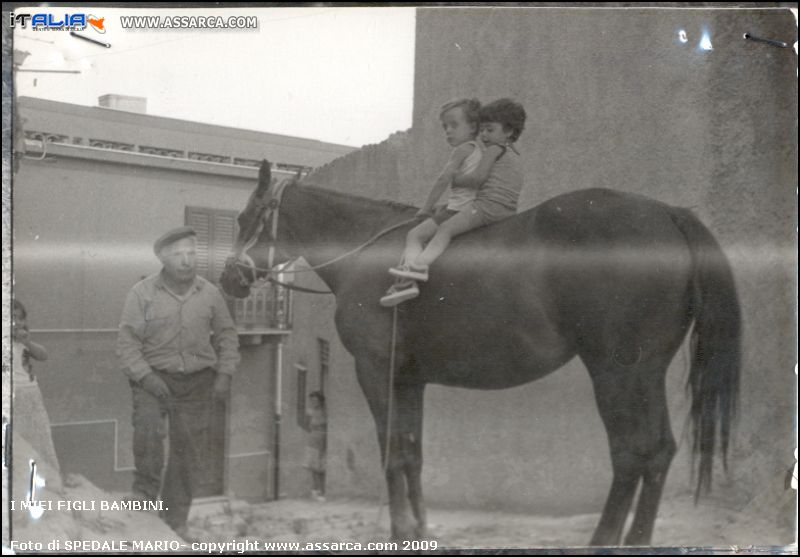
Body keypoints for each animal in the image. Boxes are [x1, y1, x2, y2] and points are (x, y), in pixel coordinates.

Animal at [217, 159, 736, 544]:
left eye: (244, 218)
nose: (229, 279)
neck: (368, 254)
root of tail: (667, 213)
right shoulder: (409, 379)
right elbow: (412, 452)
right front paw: (420, 529)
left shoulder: (376, 372)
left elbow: (391, 452)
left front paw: (400, 529)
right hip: (647, 373)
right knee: (660, 450)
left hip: (616, 374)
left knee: (632, 453)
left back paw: (605, 539)